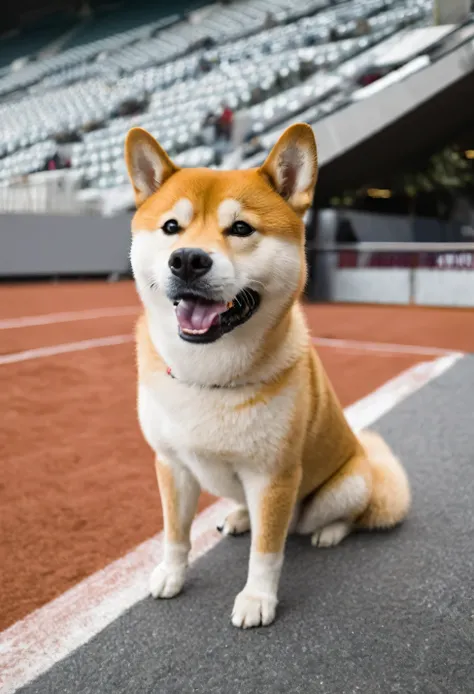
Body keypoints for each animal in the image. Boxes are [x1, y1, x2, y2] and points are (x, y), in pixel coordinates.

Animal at [126, 125, 412, 632]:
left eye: (241, 228)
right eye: (171, 227)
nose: (188, 260)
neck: (208, 376)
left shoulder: (273, 477)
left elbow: (266, 552)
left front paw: (257, 599)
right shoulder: (172, 466)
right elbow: (175, 533)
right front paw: (170, 575)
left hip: (346, 485)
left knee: (340, 517)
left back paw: (329, 532)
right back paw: (239, 517)